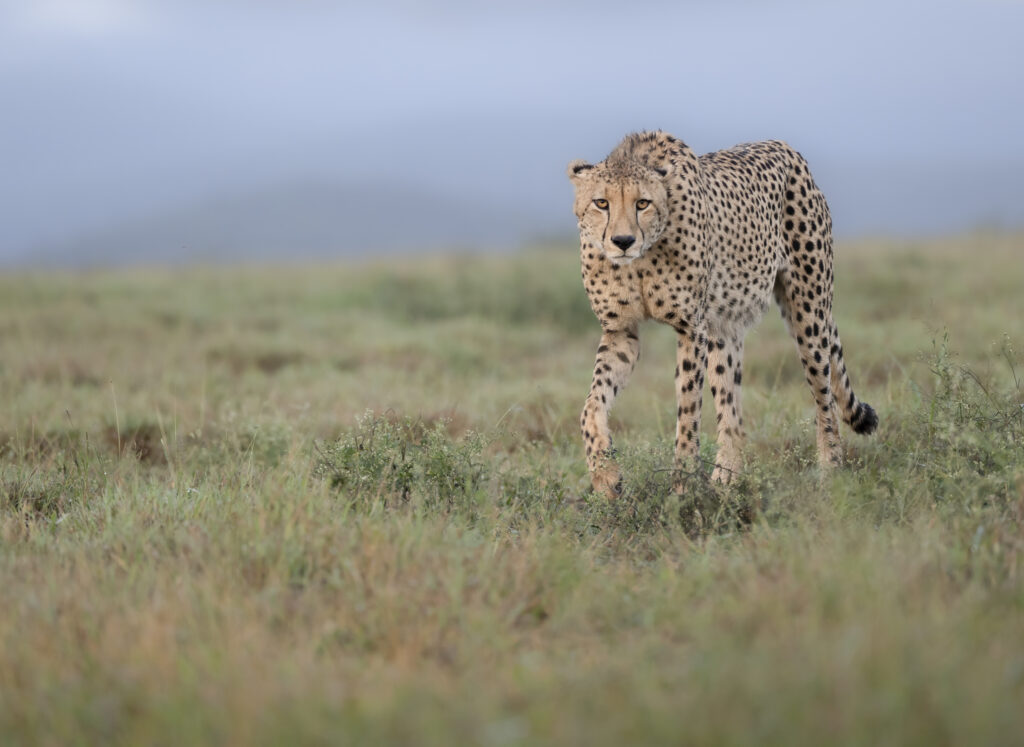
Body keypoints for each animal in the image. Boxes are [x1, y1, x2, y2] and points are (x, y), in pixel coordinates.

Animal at [567, 130, 878, 498]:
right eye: (601, 203)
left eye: (642, 203)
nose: (623, 240)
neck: (641, 258)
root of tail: (785, 148)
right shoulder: (621, 332)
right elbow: (591, 404)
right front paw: (605, 475)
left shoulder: (691, 328)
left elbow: (688, 410)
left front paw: (683, 486)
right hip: (724, 330)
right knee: (732, 411)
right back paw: (726, 479)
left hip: (809, 312)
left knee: (824, 397)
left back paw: (830, 471)